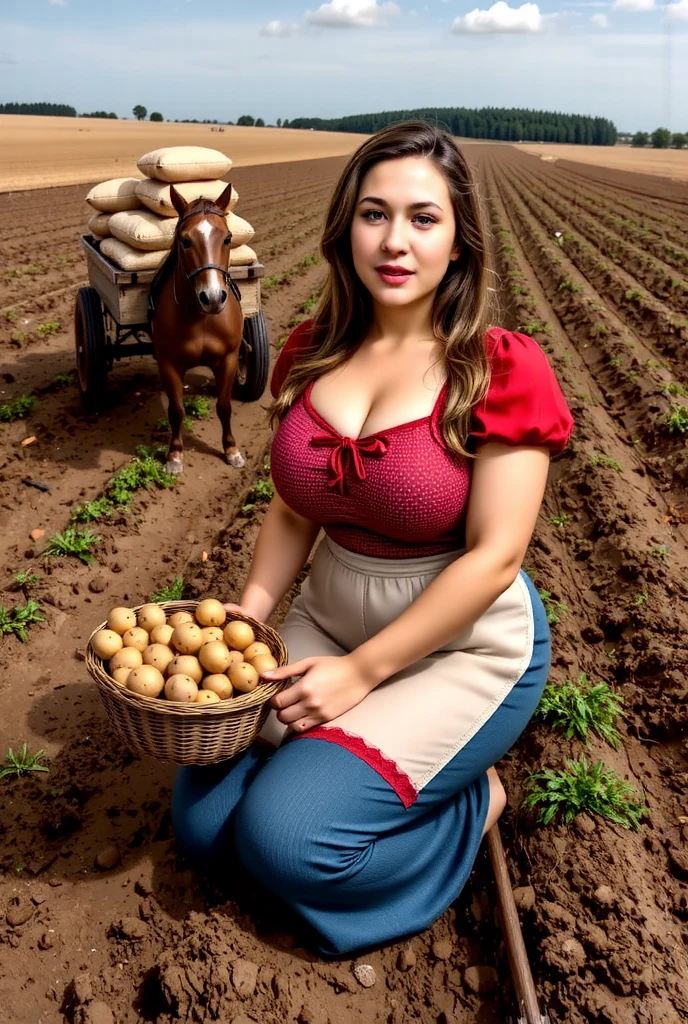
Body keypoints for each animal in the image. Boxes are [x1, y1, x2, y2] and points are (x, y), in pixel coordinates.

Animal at [149, 182, 245, 473]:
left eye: (227, 238)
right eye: (185, 240)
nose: (212, 297)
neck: (200, 317)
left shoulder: (228, 358)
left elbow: (224, 406)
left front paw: (231, 450)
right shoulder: (168, 363)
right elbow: (177, 410)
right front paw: (175, 454)